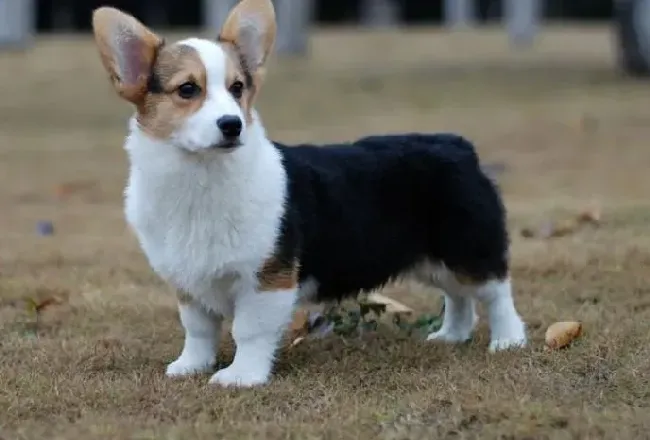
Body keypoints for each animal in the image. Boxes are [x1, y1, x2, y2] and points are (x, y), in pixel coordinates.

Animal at [91, 0, 528, 384]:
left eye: (237, 88)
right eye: (187, 90)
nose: (233, 125)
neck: (201, 178)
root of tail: (457, 144)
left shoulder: (267, 280)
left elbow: (248, 331)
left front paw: (241, 376)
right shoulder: (188, 282)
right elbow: (198, 330)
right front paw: (190, 367)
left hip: (468, 249)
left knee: (495, 292)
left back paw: (508, 340)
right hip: (433, 259)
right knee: (458, 297)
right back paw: (451, 335)